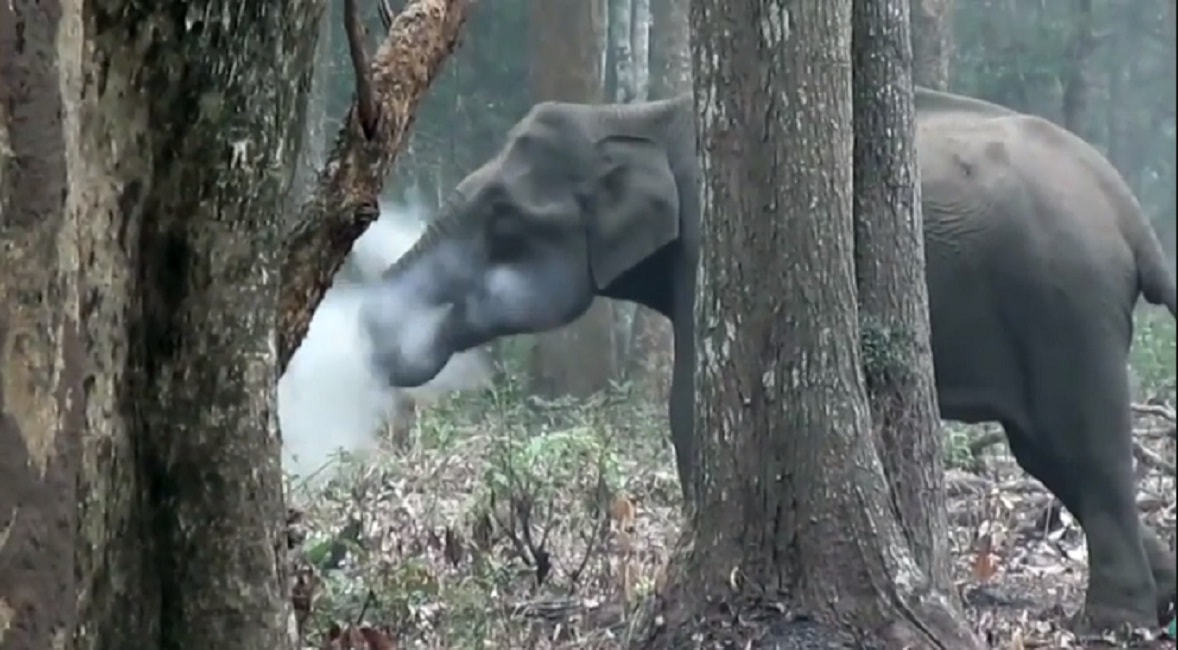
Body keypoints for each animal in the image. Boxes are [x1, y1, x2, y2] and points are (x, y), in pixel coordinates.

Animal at [356, 87, 1178, 631]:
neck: (634, 116)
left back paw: (1115, 623)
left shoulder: (712, 248)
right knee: (1051, 454)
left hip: (1064, 304)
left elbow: (689, 407)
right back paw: (1162, 592)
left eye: (501, 220)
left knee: (1081, 447)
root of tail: (1130, 214)